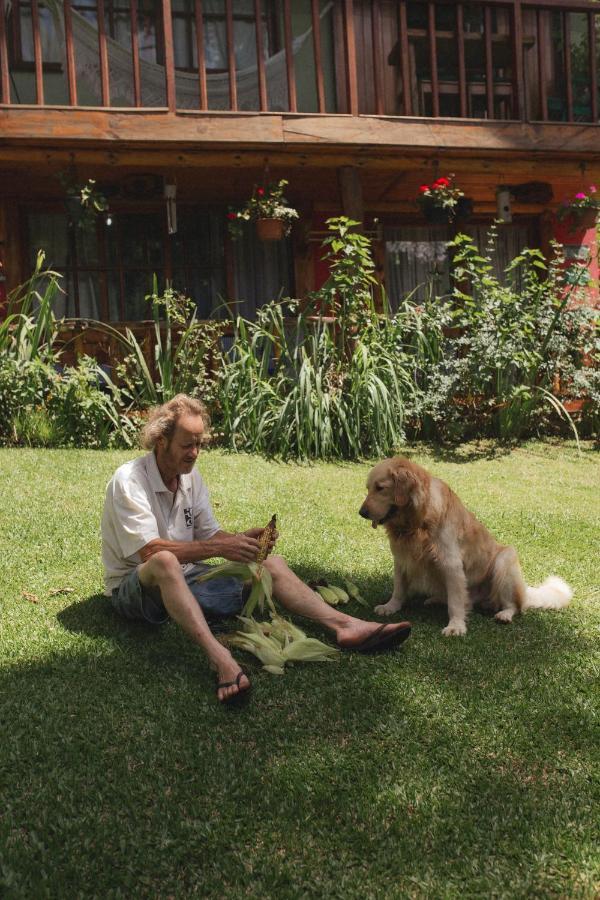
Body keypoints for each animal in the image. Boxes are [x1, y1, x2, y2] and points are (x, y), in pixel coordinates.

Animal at [358, 460, 568, 636]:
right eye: (368, 489)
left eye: (380, 488)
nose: (361, 513)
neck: (417, 523)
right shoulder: (402, 559)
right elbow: (399, 588)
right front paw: (390, 606)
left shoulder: (451, 564)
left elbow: (455, 602)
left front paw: (456, 626)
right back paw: (436, 599)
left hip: (505, 560)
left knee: (513, 605)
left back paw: (504, 614)